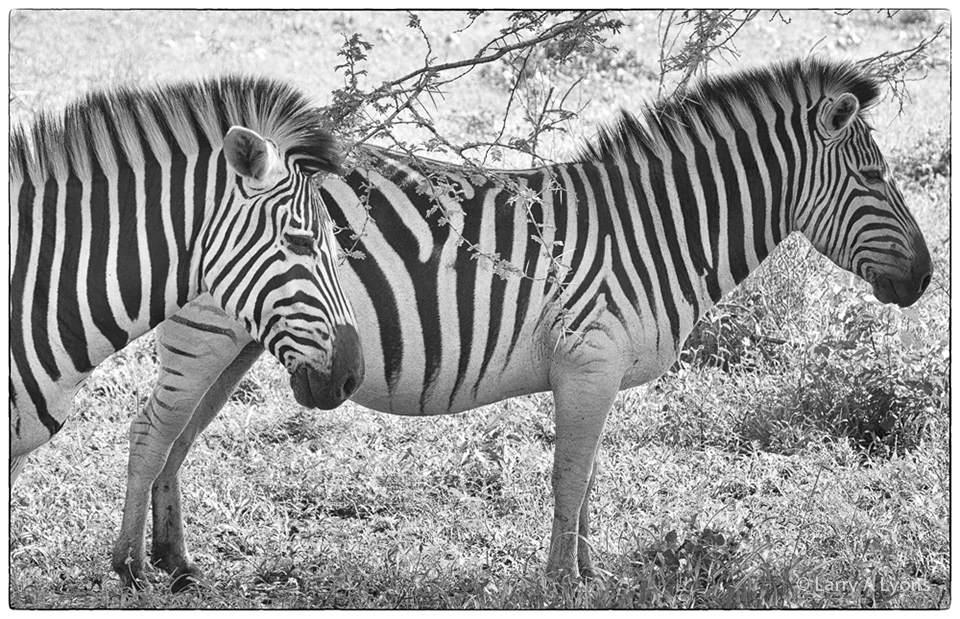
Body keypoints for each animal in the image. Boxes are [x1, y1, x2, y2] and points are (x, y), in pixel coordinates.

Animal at [107, 58, 931, 588]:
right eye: (874, 178)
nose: (925, 279)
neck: (652, 230)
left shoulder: (597, 374)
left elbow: (589, 478)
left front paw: (590, 574)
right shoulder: (588, 362)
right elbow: (570, 478)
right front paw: (562, 584)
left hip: (251, 339)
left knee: (179, 438)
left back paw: (177, 562)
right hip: (208, 332)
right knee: (149, 432)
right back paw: (131, 569)